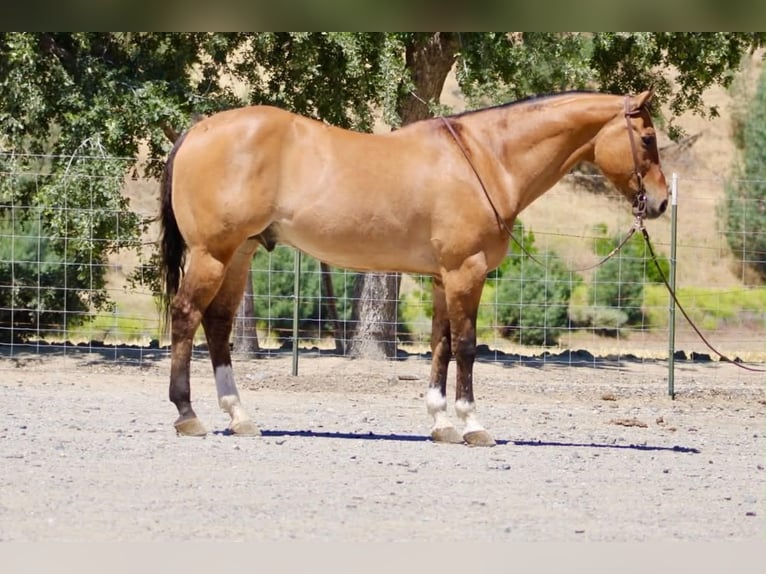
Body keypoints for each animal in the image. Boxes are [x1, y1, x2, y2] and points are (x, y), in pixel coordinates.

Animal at [159, 89, 668, 446]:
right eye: (647, 139)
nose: (662, 202)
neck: (486, 158)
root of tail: (198, 131)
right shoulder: (467, 272)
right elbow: (465, 347)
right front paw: (473, 424)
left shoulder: (445, 278)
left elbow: (440, 346)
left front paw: (441, 423)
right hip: (212, 253)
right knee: (186, 316)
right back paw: (187, 415)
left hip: (238, 254)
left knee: (218, 324)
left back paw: (239, 416)